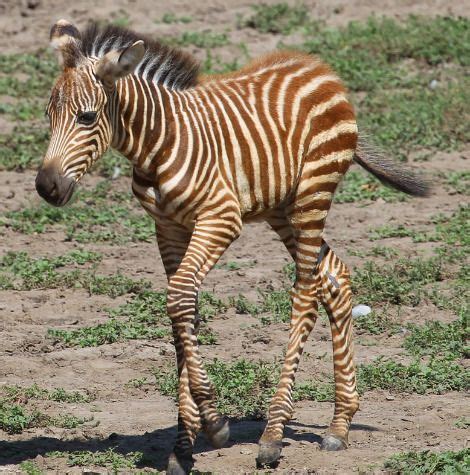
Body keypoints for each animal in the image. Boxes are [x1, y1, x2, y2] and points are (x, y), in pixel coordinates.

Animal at [35, 20, 428, 474]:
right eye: (48, 116)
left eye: (87, 117)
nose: (46, 188)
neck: (159, 143)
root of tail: (319, 66)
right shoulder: (167, 228)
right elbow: (183, 310)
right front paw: (184, 445)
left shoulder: (220, 219)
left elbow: (179, 299)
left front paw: (215, 423)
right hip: (282, 207)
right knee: (334, 276)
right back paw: (339, 424)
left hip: (312, 193)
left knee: (306, 292)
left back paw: (273, 435)